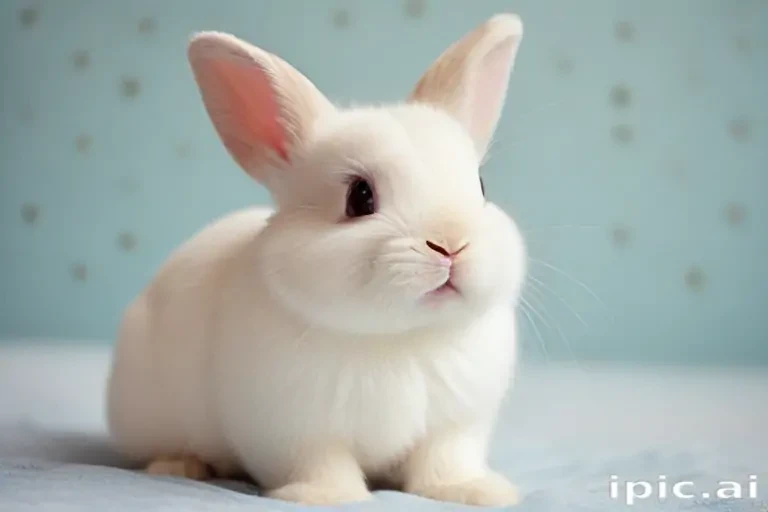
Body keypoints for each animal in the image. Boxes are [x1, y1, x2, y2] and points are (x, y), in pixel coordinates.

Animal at [106, 13, 527, 507]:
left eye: (480, 187)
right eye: (359, 197)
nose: (450, 244)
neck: (399, 339)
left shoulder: (455, 426)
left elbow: (444, 461)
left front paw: (474, 491)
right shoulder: (295, 431)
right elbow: (322, 464)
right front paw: (326, 497)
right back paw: (180, 466)